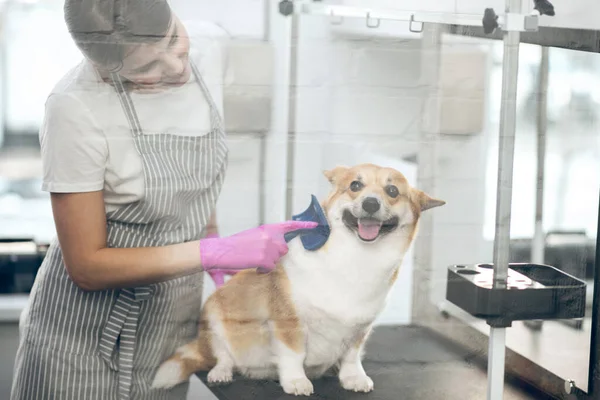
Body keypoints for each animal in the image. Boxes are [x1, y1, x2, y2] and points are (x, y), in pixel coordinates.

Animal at [151, 163, 446, 396]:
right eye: (355, 185)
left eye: (393, 191)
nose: (370, 203)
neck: (356, 257)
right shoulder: (288, 322)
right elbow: (294, 354)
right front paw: (296, 381)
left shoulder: (361, 329)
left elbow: (352, 356)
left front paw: (353, 377)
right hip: (213, 319)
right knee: (222, 355)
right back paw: (222, 372)